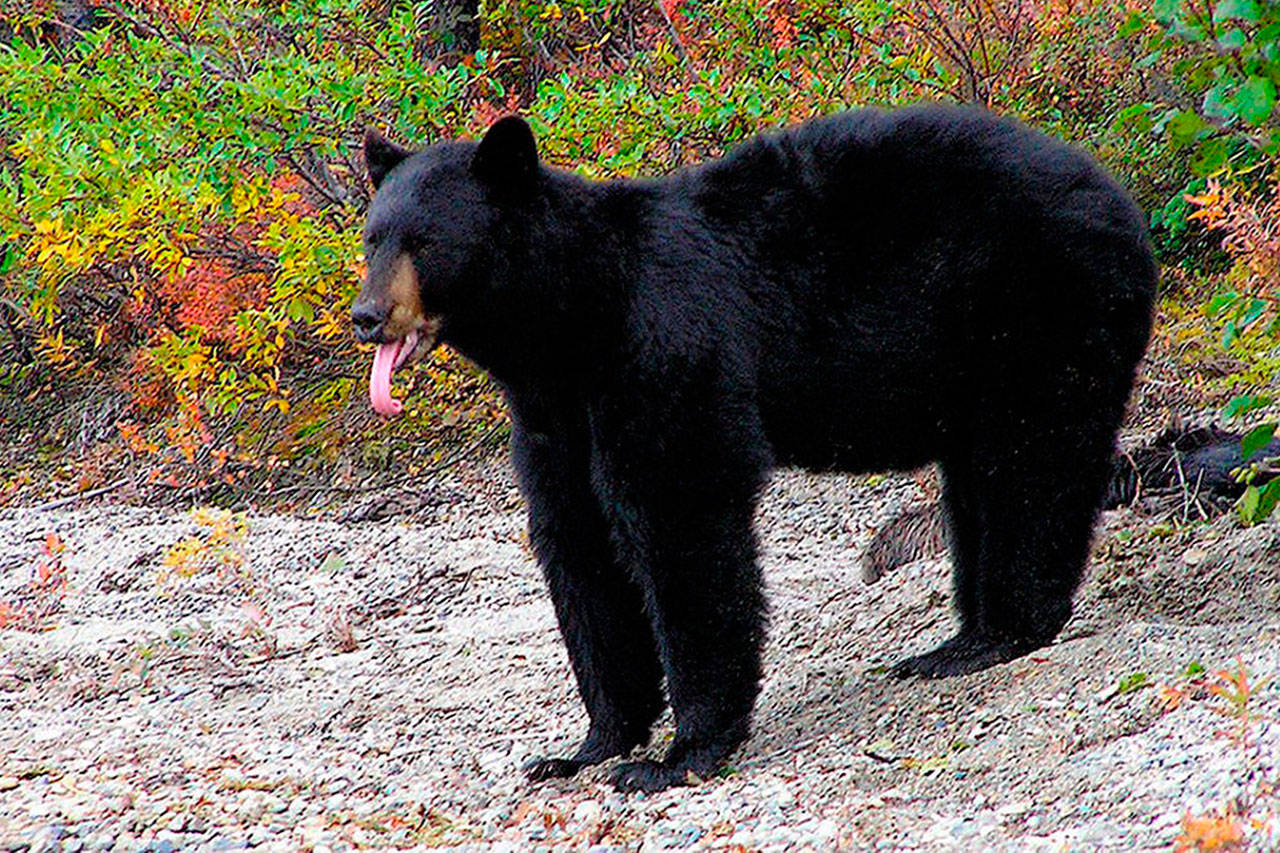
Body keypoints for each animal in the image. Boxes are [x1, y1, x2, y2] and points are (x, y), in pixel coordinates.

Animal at [350, 104, 1158, 792]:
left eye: (424, 240)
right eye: (373, 236)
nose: (367, 315)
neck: (571, 322)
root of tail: (1118, 198)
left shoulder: (663, 355)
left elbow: (682, 521)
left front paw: (678, 754)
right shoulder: (555, 417)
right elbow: (578, 546)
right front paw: (588, 745)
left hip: (1039, 308)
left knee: (1035, 461)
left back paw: (1010, 630)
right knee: (983, 478)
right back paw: (959, 643)